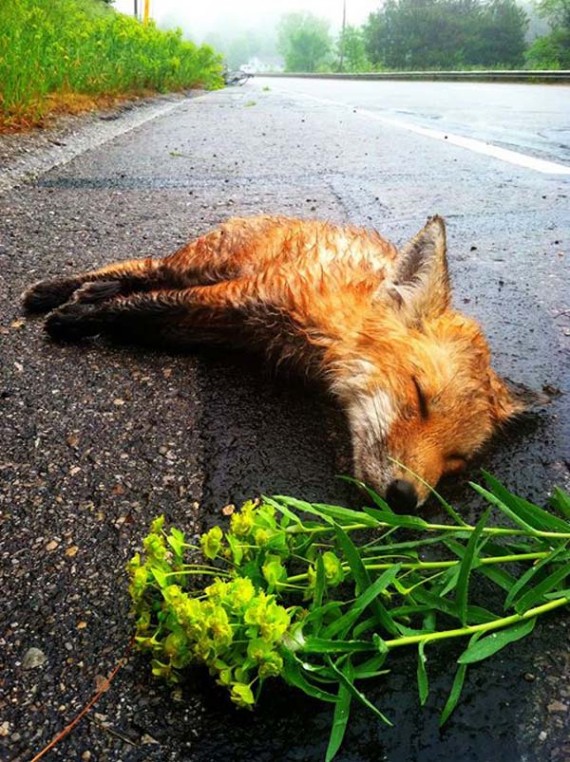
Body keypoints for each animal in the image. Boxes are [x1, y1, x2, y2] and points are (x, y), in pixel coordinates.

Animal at [22, 217, 536, 508]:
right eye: (419, 395)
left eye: (455, 461)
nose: (405, 499)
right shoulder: (240, 297)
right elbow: (139, 305)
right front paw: (74, 318)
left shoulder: (219, 325)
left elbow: (142, 312)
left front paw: (86, 311)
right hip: (201, 264)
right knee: (142, 267)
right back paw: (53, 290)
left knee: (135, 276)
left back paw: (85, 291)